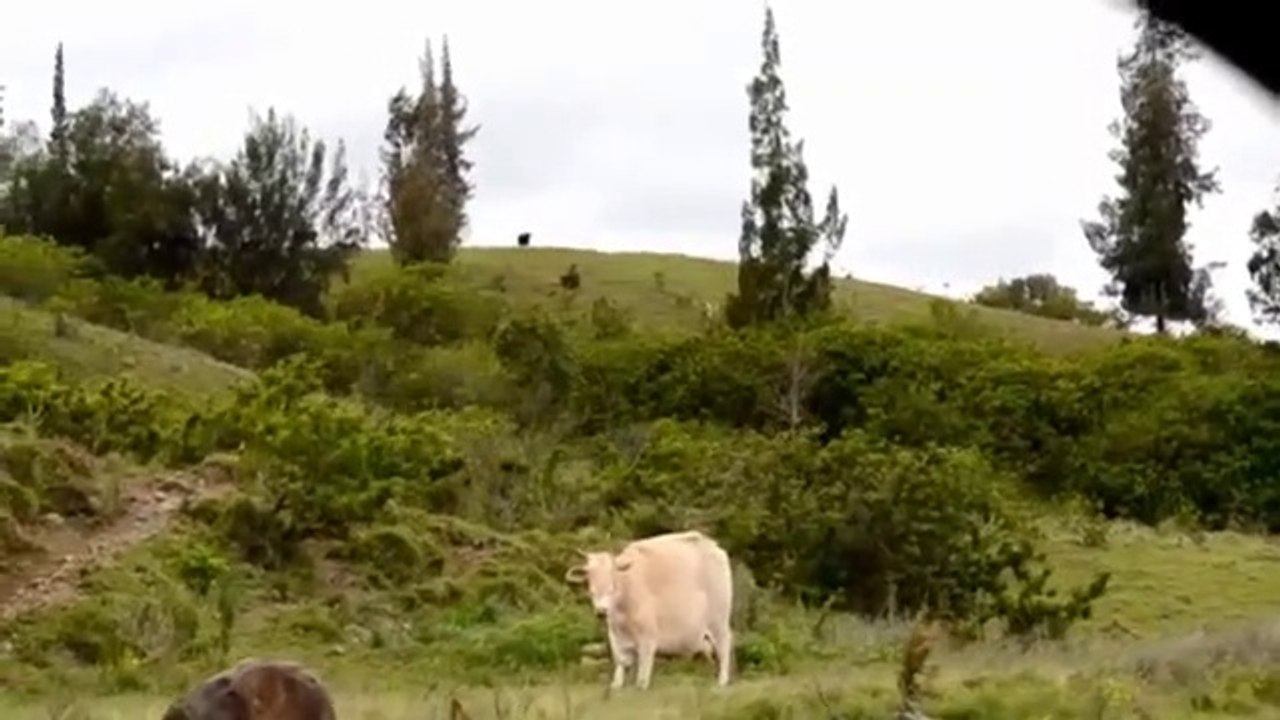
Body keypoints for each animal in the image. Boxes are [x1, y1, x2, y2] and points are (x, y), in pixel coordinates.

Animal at [564, 529, 734, 690]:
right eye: (589, 574)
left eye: (612, 573)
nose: (601, 610)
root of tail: (713, 547)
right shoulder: (615, 636)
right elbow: (620, 664)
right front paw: (616, 685)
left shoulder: (647, 637)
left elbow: (643, 669)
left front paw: (641, 685)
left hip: (718, 621)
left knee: (724, 646)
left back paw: (722, 681)